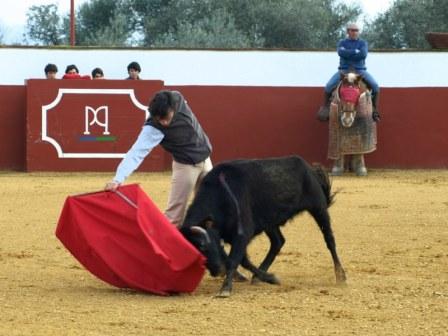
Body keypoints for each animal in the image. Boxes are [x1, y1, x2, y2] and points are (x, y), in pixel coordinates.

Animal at [179, 156, 346, 296]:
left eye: (203, 246)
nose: (217, 271)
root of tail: (309, 168)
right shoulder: (228, 237)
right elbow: (243, 261)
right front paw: (269, 278)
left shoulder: (242, 234)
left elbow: (234, 259)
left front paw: (225, 289)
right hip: (270, 222)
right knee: (278, 242)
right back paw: (259, 276)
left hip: (319, 208)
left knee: (329, 239)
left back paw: (340, 275)